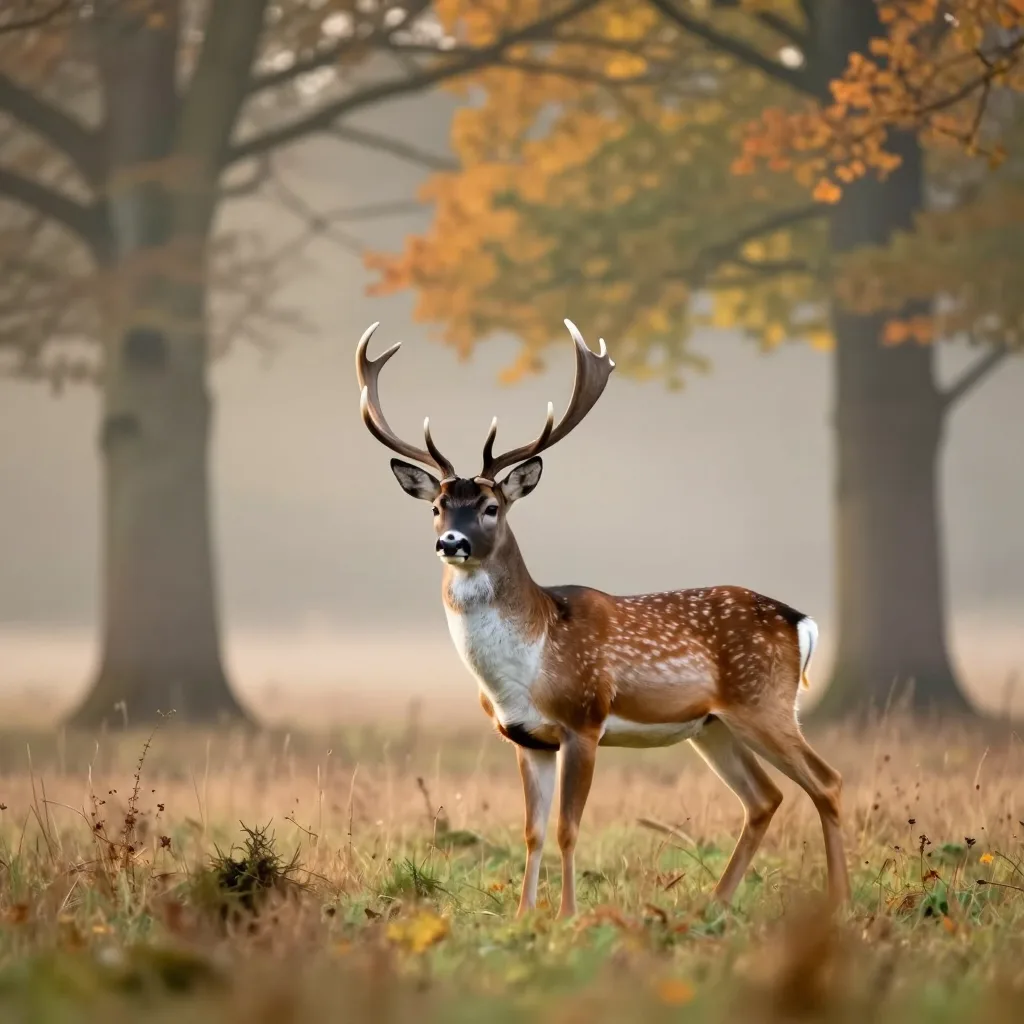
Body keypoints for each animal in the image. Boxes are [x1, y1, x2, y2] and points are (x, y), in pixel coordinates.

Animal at [355, 319, 850, 920]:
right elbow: (532, 831)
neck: (531, 658)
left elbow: (568, 828)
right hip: (714, 725)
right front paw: (523, 916)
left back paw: (840, 902)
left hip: (765, 702)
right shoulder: (527, 738)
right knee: (765, 798)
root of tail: (801, 621)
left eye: (492, 507)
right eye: (436, 506)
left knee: (826, 781)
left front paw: (567, 915)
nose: (452, 541)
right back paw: (714, 904)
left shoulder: (583, 719)